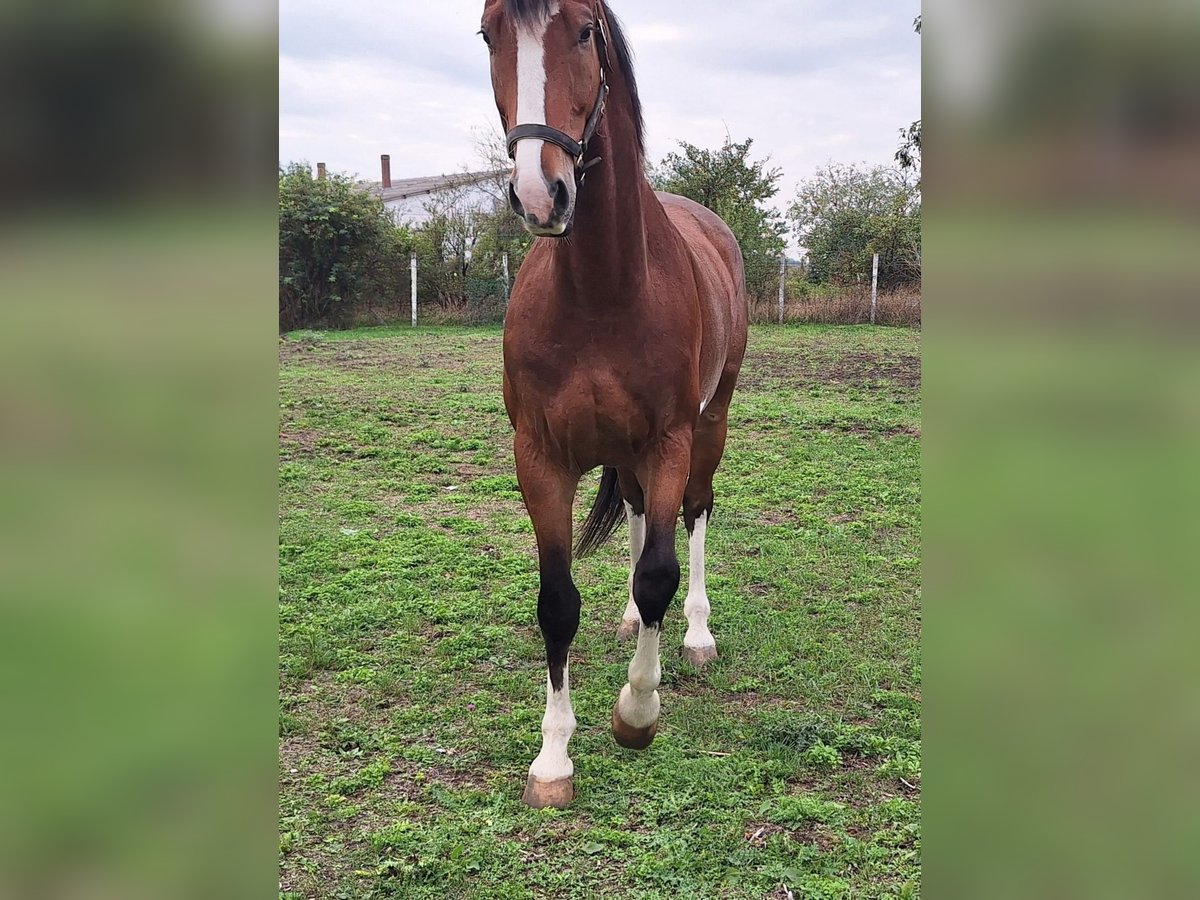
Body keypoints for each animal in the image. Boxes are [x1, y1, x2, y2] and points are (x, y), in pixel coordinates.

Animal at [475, 0, 739, 811]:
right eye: (489, 33)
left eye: (586, 30)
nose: (541, 193)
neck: (601, 289)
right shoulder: (540, 455)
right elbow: (557, 601)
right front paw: (553, 759)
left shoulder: (669, 441)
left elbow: (660, 572)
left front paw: (636, 713)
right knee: (635, 513)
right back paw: (627, 619)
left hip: (712, 422)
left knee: (692, 516)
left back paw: (696, 636)